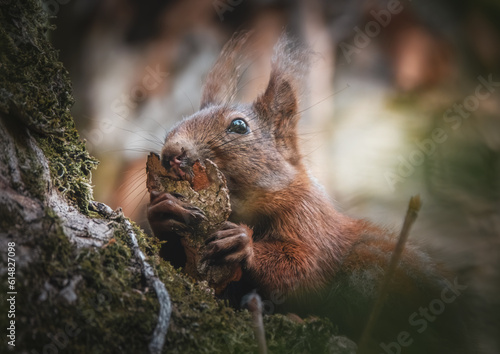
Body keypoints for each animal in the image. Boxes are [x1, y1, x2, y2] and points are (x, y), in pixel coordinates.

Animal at [146, 32, 470, 352]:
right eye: (176, 124)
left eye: (239, 126)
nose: (171, 152)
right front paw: (162, 212)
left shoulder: (309, 220)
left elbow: (304, 268)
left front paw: (243, 243)